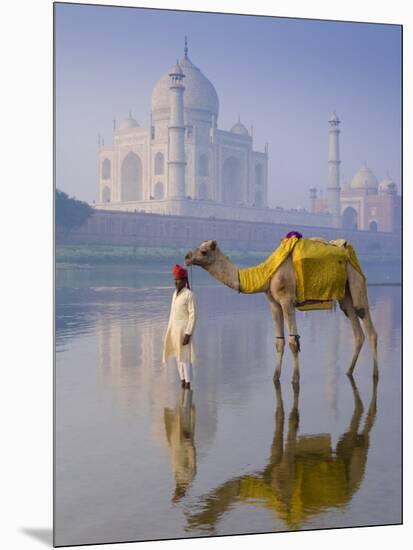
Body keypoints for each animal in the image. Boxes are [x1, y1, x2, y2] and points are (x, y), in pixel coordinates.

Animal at [183, 239, 376, 386]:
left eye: (204, 251)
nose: (186, 257)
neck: (265, 275)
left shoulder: (286, 300)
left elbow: (293, 341)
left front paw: (295, 379)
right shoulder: (274, 303)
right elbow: (279, 342)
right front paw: (275, 377)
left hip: (356, 280)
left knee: (367, 322)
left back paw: (375, 374)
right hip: (345, 294)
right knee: (356, 329)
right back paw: (349, 371)